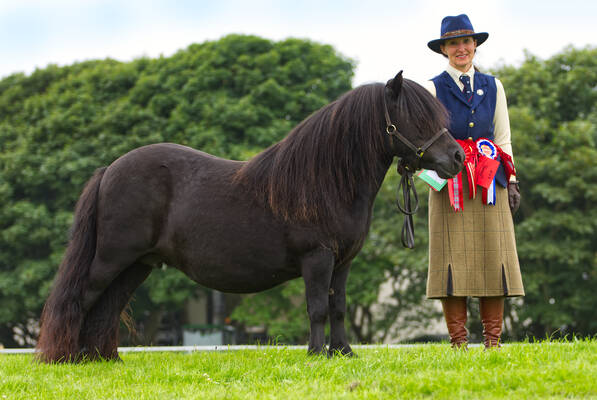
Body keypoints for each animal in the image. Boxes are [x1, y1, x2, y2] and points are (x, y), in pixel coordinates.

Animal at [36, 72, 466, 362]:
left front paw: (343, 352)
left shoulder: (342, 263)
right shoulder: (317, 258)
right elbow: (317, 307)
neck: (326, 181)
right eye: (416, 118)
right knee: (83, 298)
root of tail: (109, 170)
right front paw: (315, 355)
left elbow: (339, 306)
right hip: (112, 259)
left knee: (107, 306)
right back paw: (68, 359)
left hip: (137, 265)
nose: (458, 158)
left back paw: (101, 359)